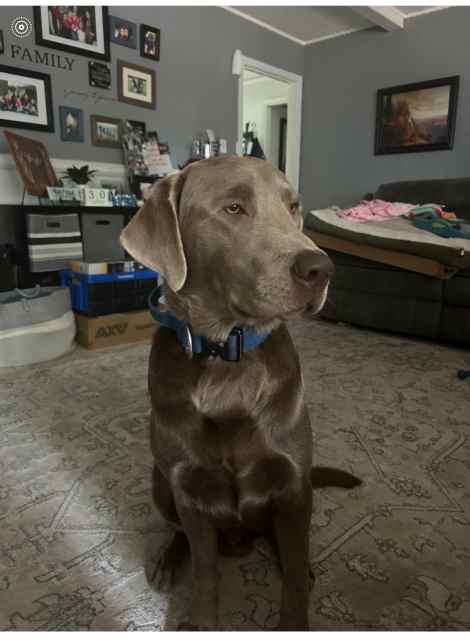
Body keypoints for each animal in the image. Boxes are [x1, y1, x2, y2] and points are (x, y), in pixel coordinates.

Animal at [119, 156, 358, 632]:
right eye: (233, 208)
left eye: (293, 207)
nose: (321, 269)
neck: (226, 353)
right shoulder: (189, 491)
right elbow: (205, 573)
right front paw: (198, 620)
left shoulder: (292, 483)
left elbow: (293, 583)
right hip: (160, 482)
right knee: (180, 535)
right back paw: (167, 562)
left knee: (289, 546)